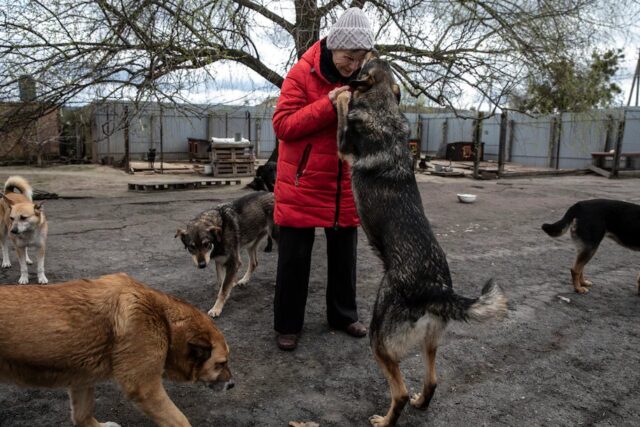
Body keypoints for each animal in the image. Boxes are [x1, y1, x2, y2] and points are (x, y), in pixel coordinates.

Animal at [0, 272, 232, 426]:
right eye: (221, 364)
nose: (232, 384)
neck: (163, 321)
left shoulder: (81, 378)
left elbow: (82, 415)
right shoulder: (145, 389)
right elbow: (180, 420)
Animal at [336, 57, 510, 427]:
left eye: (368, 58)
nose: (370, 49)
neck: (384, 110)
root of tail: (438, 290)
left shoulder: (344, 147)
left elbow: (344, 109)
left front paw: (339, 95)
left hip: (379, 339)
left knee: (399, 391)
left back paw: (385, 420)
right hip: (429, 341)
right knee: (432, 381)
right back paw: (420, 401)